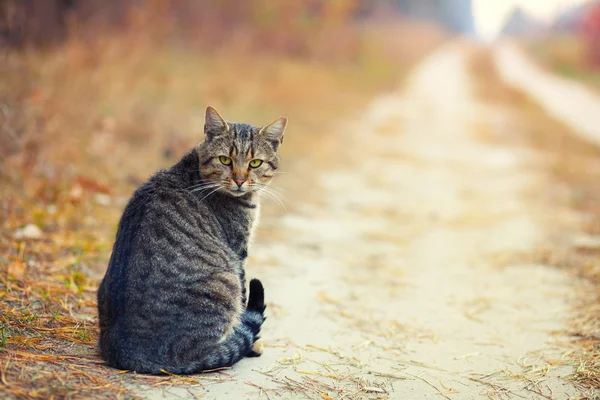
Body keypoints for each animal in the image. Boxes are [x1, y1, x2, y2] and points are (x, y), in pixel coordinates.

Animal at [96, 106, 288, 376]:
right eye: (225, 160)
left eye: (255, 163)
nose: (240, 180)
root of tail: (124, 347)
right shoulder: (238, 254)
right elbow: (243, 307)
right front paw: (251, 345)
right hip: (224, 281)